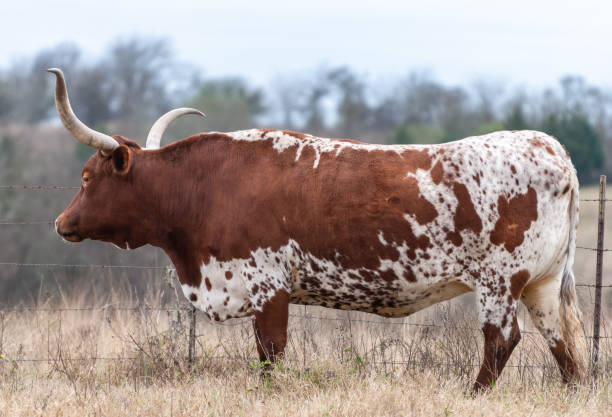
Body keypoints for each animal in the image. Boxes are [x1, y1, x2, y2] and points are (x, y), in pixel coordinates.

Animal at [50, 68, 584, 390]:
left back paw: (473, 395)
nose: (60, 223)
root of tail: (554, 150)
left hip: (500, 282)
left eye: (87, 178)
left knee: (502, 340)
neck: (204, 188)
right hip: (542, 283)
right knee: (563, 344)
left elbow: (270, 354)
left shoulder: (268, 286)